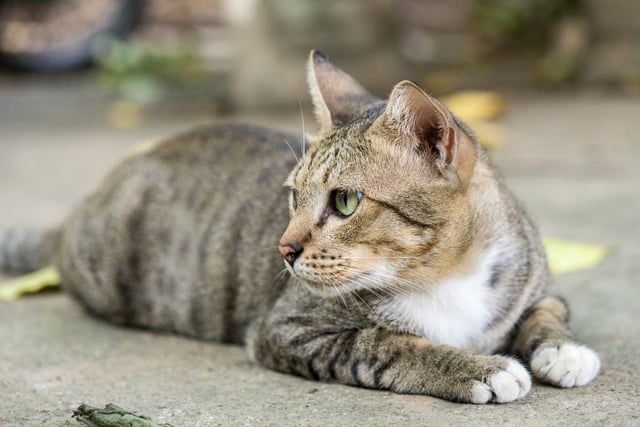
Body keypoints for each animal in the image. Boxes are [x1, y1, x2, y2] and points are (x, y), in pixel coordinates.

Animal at [1, 50, 600, 404]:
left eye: (346, 201)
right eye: (293, 195)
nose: (284, 249)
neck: (444, 277)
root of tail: (85, 205)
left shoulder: (536, 281)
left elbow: (547, 312)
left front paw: (563, 351)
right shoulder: (287, 327)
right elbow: (388, 345)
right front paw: (480, 369)